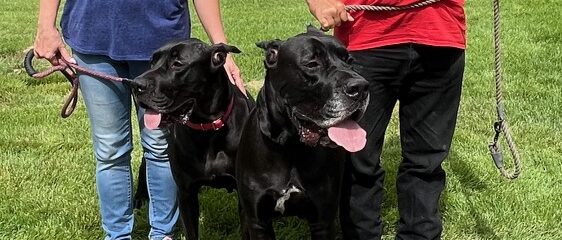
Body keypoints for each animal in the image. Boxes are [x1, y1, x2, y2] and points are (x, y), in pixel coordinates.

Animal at [235, 26, 370, 240]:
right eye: (312, 64)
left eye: (350, 61)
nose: (362, 87)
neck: (291, 147)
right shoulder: (258, 222)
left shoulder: (322, 221)